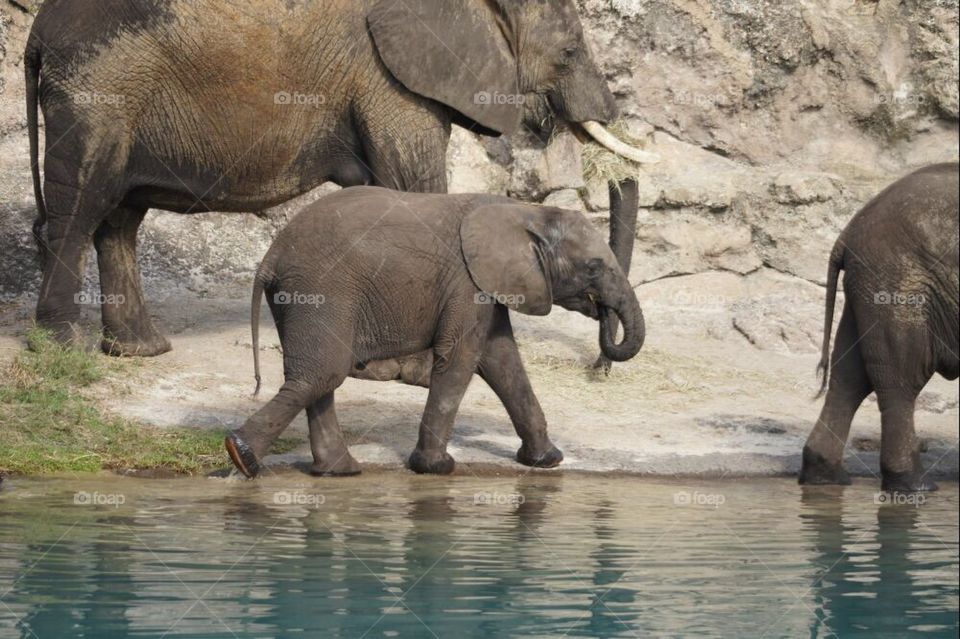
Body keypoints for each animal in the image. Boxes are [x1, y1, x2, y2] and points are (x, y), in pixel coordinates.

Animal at [25, 0, 658, 357]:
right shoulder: (388, 82)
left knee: (118, 218)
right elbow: (413, 184)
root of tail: (36, 35)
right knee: (81, 206)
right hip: (102, 87)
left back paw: (140, 351)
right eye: (569, 51)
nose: (601, 359)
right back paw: (61, 350)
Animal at [223, 186, 645, 477]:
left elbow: (503, 361)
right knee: (323, 373)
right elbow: (460, 359)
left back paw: (338, 471)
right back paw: (241, 456)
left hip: (299, 296)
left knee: (319, 375)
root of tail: (270, 257)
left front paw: (547, 461)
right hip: (321, 290)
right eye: (593, 267)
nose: (601, 310)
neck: (527, 211)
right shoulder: (467, 283)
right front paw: (437, 468)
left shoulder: (485, 287)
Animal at [800, 163, 959, 493]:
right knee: (902, 377)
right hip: (900, 280)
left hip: (871, 285)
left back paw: (825, 478)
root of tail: (846, 234)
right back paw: (912, 485)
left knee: (849, 377)